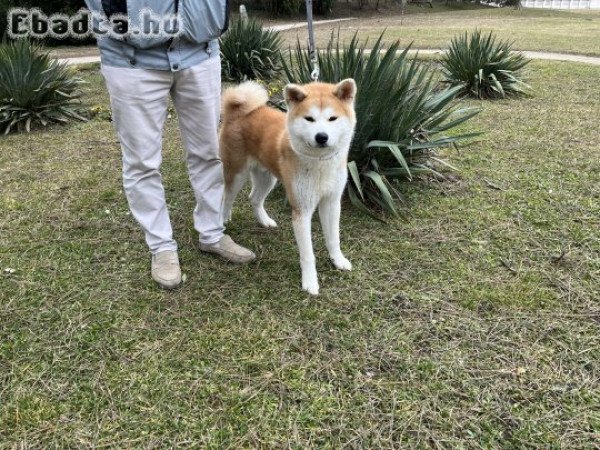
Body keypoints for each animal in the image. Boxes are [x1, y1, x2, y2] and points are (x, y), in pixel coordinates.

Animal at [219, 79, 356, 296]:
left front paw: (338, 260)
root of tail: (238, 112)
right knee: (227, 197)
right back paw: (224, 219)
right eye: (309, 119)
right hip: (237, 173)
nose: (321, 137)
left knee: (254, 199)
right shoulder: (302, 210)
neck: (320, 163)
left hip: (268, 178)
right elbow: (308, 253)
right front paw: (310, 282)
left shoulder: (332, 203)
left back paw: (264, 221)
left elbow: (334, 238)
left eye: (332, 118)